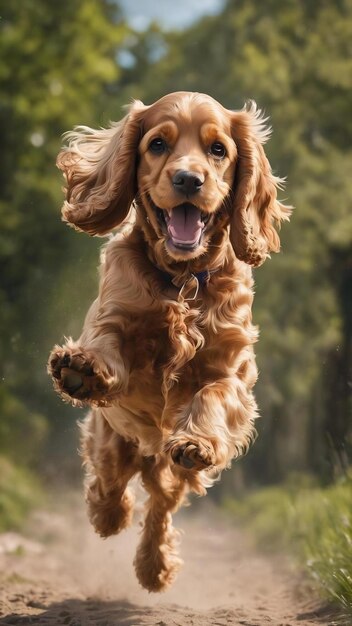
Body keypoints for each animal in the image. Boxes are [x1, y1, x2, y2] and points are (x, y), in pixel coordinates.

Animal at [48, 91, 290, 588]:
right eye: (157, 144)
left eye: (218, 149)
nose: (187, 179)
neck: (181, 282)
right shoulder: (115, 318)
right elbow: (108, 343)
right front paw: (82, 369)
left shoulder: (230, 372)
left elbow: (213, 395)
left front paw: (198, 440)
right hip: (111, 436)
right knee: (110, 479)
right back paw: (109, 513)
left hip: (171, 472)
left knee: (160, 505)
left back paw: (154, 566)